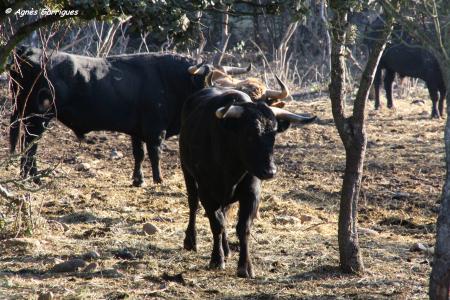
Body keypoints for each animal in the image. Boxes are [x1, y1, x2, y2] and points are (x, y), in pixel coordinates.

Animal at [8, 46, 250, 185]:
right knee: (30, 143)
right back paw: (32, 176)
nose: (211, 95)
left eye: (217, 80)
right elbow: (154, 153)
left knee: (24, 141)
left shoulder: (137, 129)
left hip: (25, 112)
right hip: (39, 116)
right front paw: (158, 179)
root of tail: (27, 51)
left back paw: (27, 174)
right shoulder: (156, 129)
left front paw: (138, 180)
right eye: (203, 80)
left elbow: (139, 154)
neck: (169, 78)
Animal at [179, 88, 316, 278]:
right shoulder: (207, 193)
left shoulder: (252, 194)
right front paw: (216, 259)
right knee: (193, 204)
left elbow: (242, 228)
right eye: (249, 134)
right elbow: (216, 225)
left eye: (273, 134)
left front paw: (245, 266)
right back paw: (191, 241)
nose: (270, 171)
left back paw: (227, 249)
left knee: (224, 214)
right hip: (187, 171)